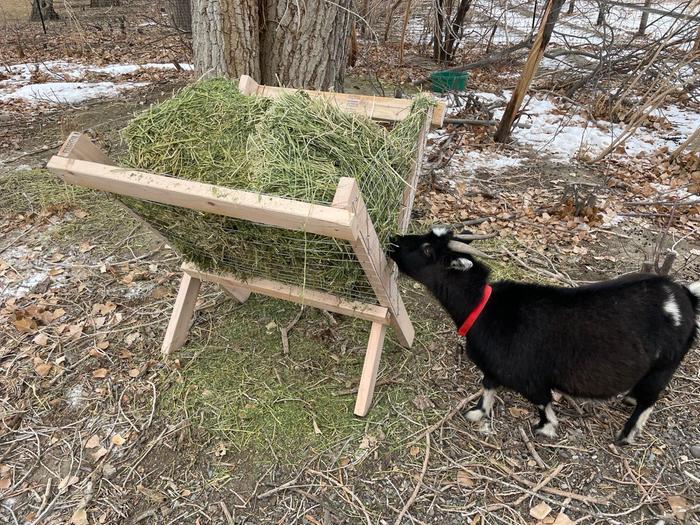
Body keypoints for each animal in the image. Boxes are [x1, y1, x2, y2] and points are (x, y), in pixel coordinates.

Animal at [388, 227, 700, 444]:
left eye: (427, 250)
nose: (392, 240)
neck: (483, 307)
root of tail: (683, 296)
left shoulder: (529, 377)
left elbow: (542, 401)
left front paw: (546, 428)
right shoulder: (493, 367)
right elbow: (487, 386)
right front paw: (478, 413)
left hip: (665, 364)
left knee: (650, 398)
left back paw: (627, 435)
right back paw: (630, 400)